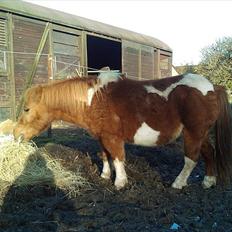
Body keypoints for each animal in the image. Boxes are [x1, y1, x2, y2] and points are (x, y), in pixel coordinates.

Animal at [14, 72, 232, 190]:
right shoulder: (102, 137)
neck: (93, 99)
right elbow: (105, 155)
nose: (16, 134)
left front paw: (120, 182)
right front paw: (104, 175)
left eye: (26, 109)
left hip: (193, 133)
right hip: (201, 134)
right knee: (209, 153)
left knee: (191, 159)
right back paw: (208, 181)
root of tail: (213, 87)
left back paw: (178, 183)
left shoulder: (113, 137)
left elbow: (118, 158)